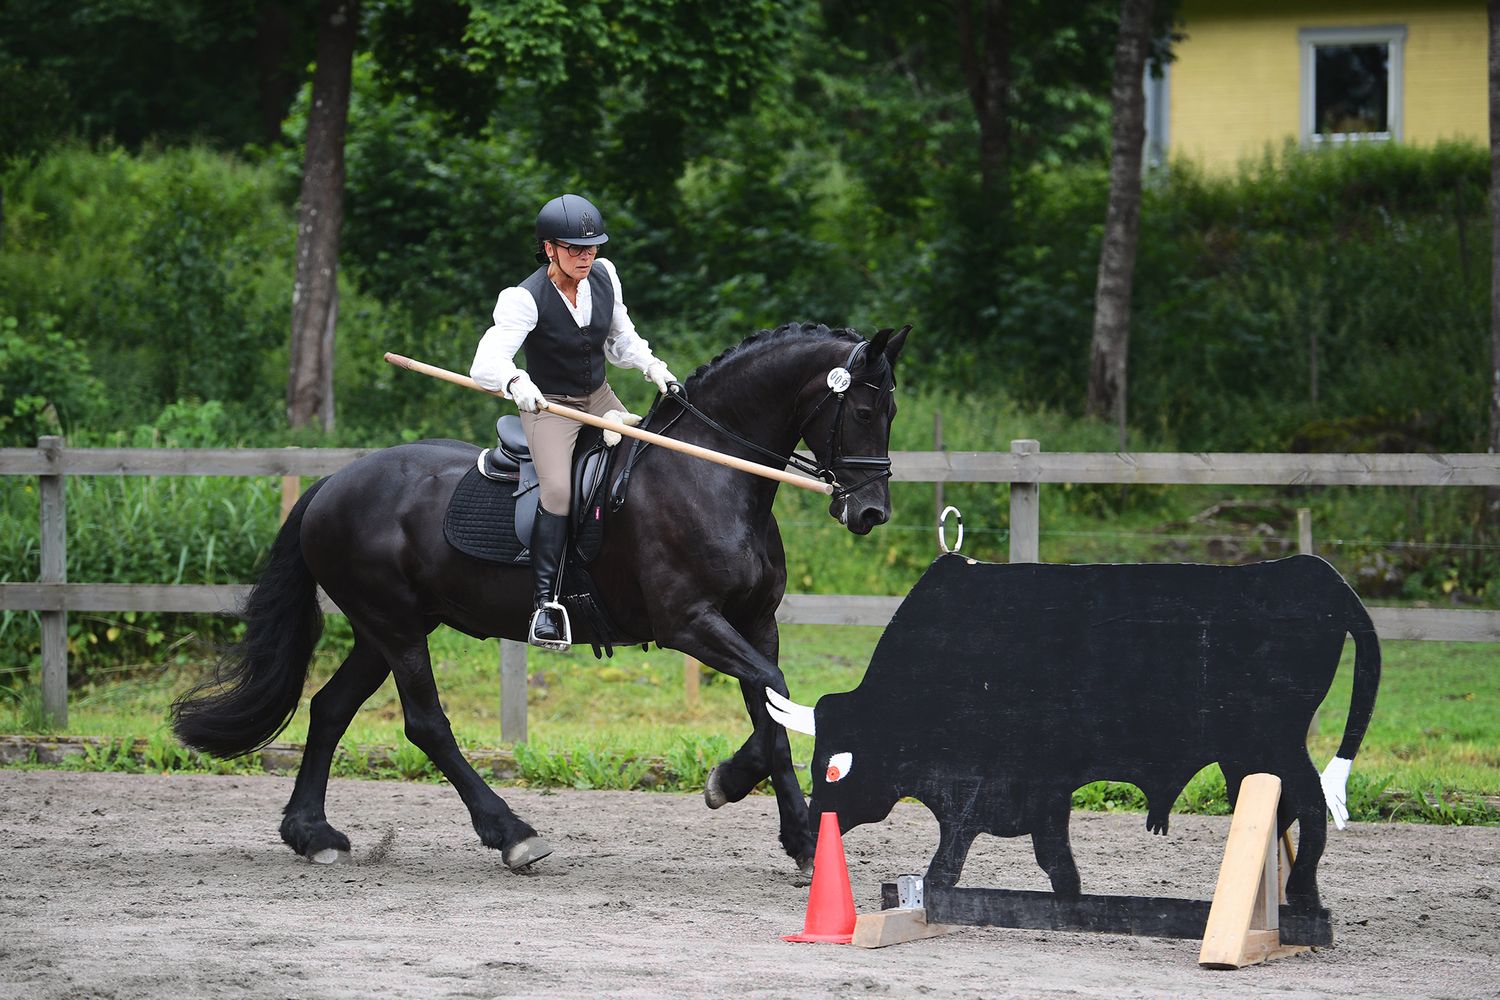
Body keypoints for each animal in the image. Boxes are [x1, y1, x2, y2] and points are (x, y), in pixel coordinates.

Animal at [172, 321, 910, 878]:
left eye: (892, 412)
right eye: (863, 410)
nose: (871, 512)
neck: (710, 474)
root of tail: (332, 483)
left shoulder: (755, 623)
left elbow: (772, 709)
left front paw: (762, 807)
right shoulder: (691, 625)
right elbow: (776, 696)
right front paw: (791, 825)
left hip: (384, 628)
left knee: (328, 710)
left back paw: (312, 833)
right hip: (396, 626)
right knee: (426, 725)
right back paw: (512, 833)